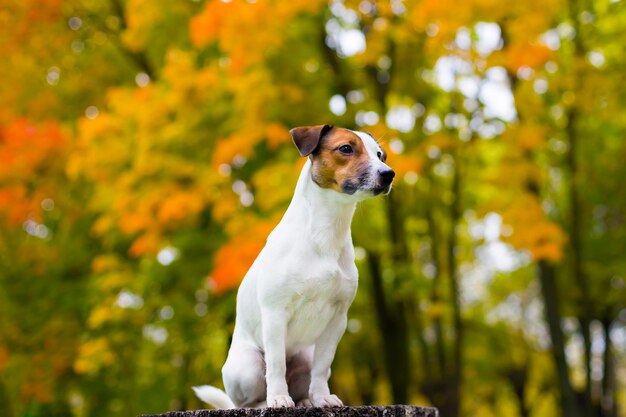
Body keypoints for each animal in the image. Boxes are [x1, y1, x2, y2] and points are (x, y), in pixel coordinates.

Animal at [193, 125, 392, 408]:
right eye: (346, 148)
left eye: (380, 155)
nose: (389, 174)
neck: (325, 233)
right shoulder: (276, 313)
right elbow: (276, 365)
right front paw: (278, 398)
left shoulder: (337, 320)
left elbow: (322, 366)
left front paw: (321, 397)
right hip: (249, 366)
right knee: (248, 399)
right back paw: (265, 402)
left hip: (305, 357)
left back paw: (306, 400)